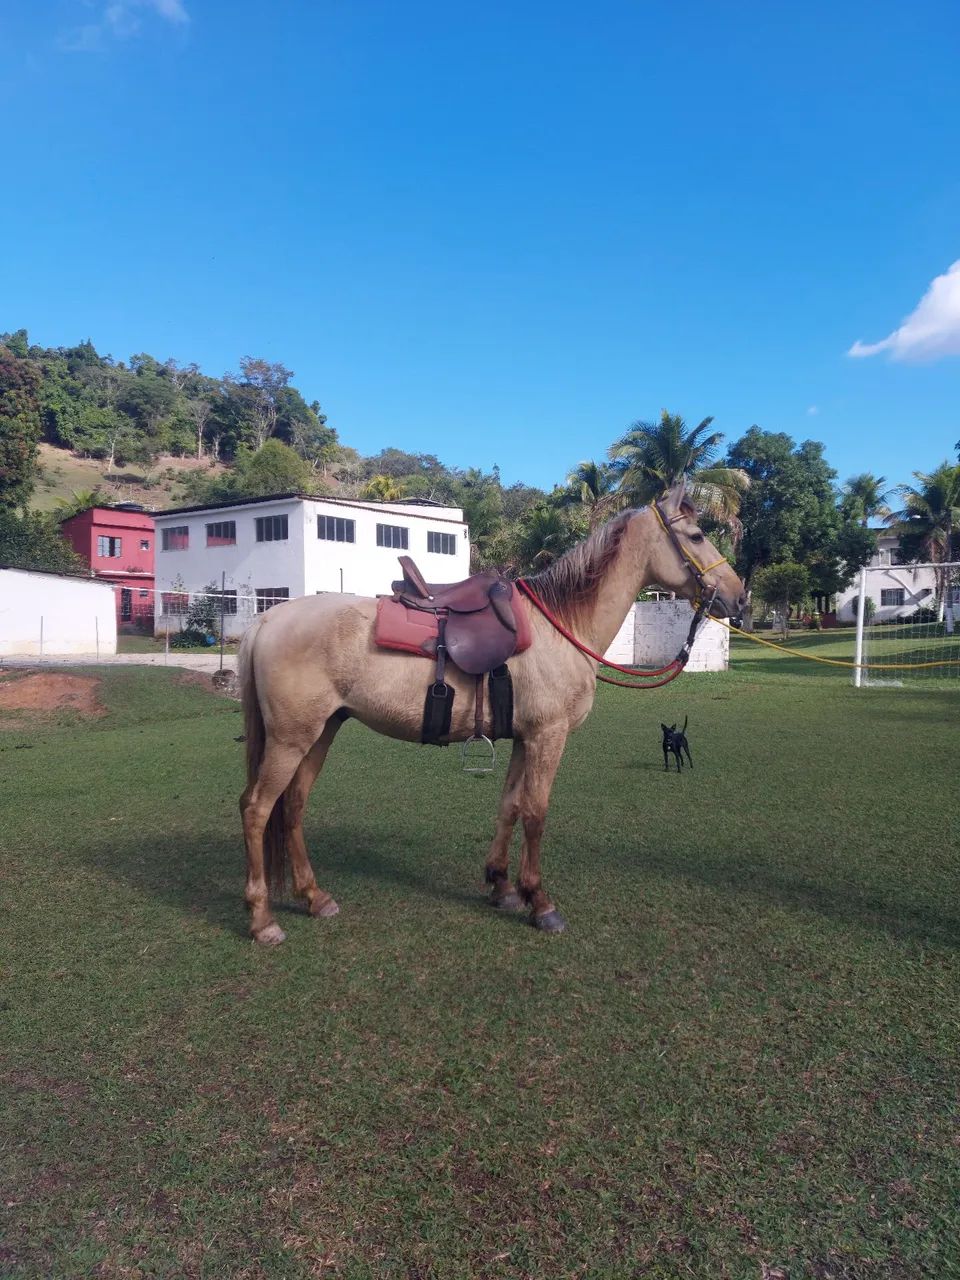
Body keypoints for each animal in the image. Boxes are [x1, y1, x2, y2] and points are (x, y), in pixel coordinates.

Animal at [238, 482, 747, 945]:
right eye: (697, 535)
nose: (739, 597)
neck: (560, 626)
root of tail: (267, 618)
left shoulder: (524, 737)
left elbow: (510, 806)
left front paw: (501, 885)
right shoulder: (548, 736)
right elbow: (536, 812)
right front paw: (540, 902)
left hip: (321, 732)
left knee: (293, 805)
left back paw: (314, 897)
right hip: (291, 739)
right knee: (257, 809)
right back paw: (263, 920)